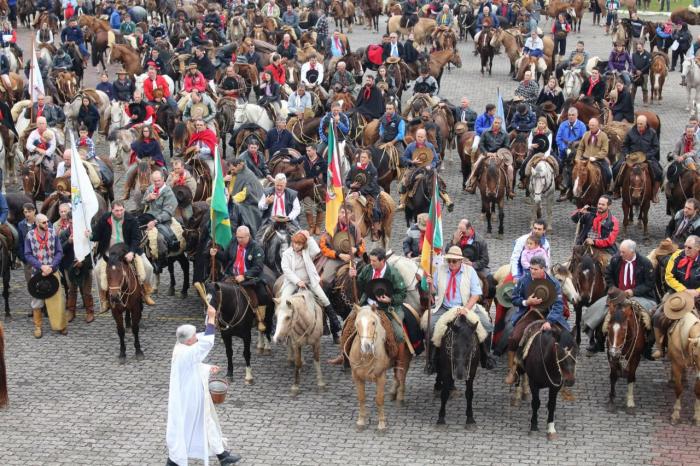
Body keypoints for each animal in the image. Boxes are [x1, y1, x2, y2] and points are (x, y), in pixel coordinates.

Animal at [348, 306, 394, 434]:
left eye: (373, 322)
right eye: (357, 323)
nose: (366, 346)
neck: (367, 357)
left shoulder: (381, 376)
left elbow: (379, 399)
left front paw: (382, 424)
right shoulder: (356, 376)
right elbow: (361, 398)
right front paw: (361, 421)